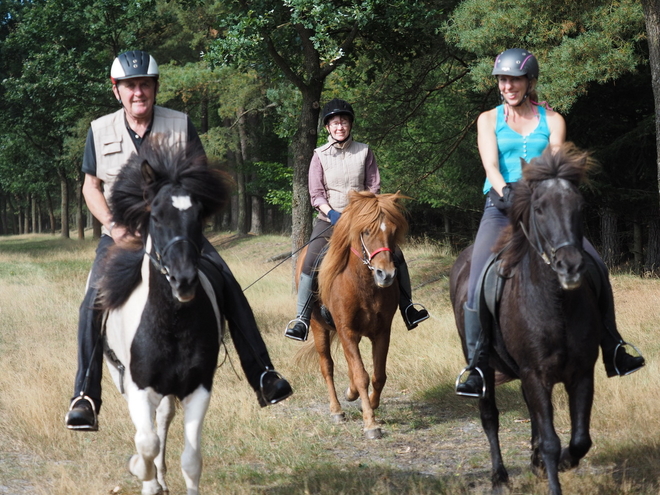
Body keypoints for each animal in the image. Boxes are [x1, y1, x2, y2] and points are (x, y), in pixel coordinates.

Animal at [100, 139, 229, 495]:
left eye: (198, 216)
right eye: (156, 217)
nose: (183, 281)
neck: (171, 324)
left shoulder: (199, 388)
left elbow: (191, 460)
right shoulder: (139, 387)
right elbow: (146, 443)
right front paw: (140, 471)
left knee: (163, 421)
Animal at [298, 190, 408, 438]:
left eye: (393, 231)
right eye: (366, 231)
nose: (386, 275)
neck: (363, 284)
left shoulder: (382, 332)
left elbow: (378, 375)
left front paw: (371, 405)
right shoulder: (346, 330)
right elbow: (361, 375)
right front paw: (371, 423)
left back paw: (350, 394)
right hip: (319, 327)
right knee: (327, 366)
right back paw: (337, 410)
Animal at [452, 141, 600, 494]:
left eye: (579, 205)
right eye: (540, 208)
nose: (570, 266)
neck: (555, 304)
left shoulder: (582, 373)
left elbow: (579, 440)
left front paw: (560, 462)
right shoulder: (535, 374)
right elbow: (550, 441)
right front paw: (552, 475)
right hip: (482, 367)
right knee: (489, 416)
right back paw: (499, 476)